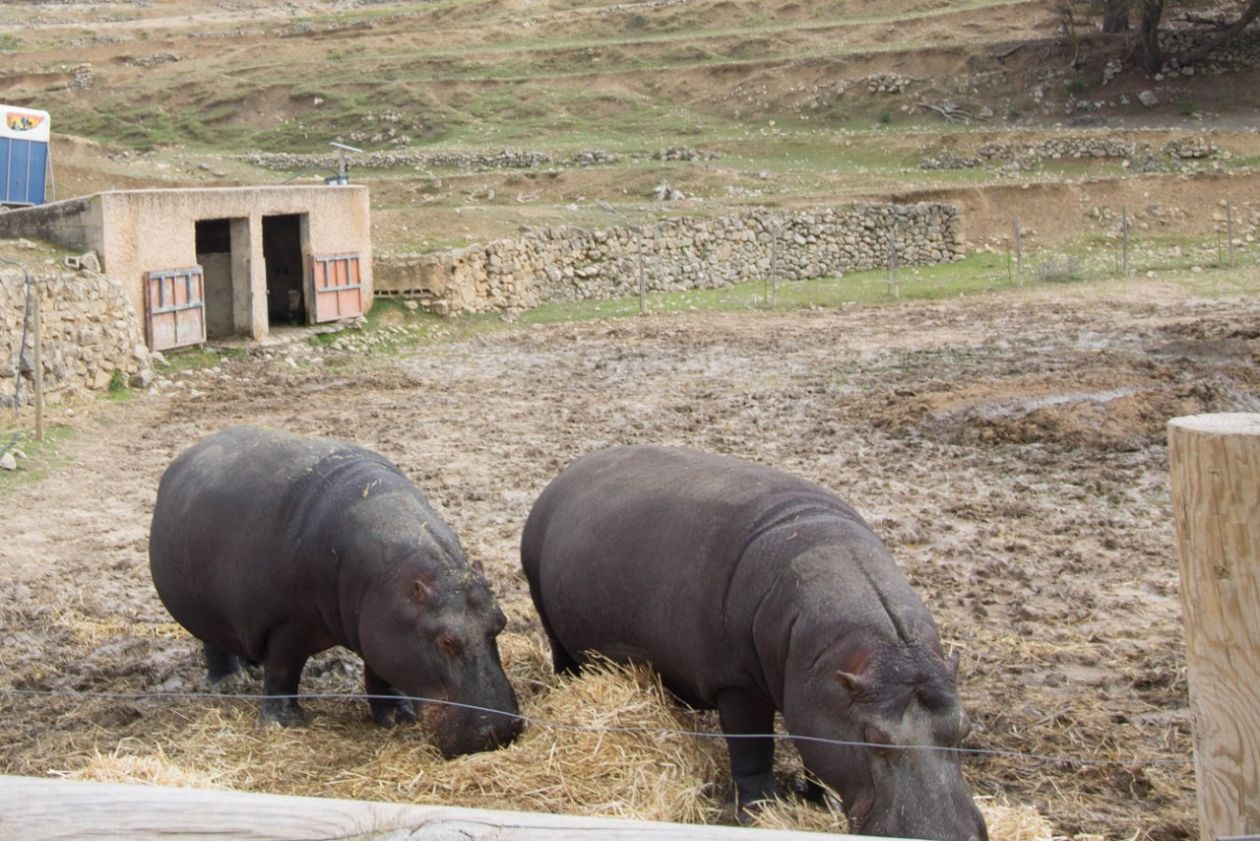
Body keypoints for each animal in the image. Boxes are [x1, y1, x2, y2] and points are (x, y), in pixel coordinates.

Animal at [151, 423, 521, 761]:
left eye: (500, 622)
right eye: (446, 641)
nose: (500, 732)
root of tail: (187, 454)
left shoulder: (380, 623)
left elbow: (379, 670)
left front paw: (398, 716)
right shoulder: (287, 624)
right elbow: (284, 670)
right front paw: (286, 722)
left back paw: (251, 668)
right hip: (202, 605)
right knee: (214, 643)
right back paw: (230, 681)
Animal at [519, 443, 982, 837]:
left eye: (963, 727)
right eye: (874, 737)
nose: (946, 835)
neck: (887, 647)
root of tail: (567, 473)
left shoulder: (817, 695)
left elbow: (816, 749)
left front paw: (817, 800)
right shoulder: (737, 684)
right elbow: (752, 748)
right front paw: (756, 812)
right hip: (547, 613)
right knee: (563, 659)